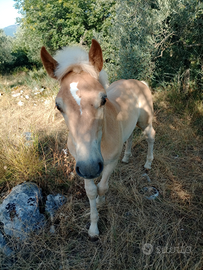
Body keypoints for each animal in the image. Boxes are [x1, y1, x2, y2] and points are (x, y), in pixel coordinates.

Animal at [40, 38, 155, 238]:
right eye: (58, 106)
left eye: (103, 99)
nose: (91, 167)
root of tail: (139, 82)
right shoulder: (80, 164)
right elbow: (91, 191)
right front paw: (93, 228)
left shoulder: (109, 163)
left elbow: (102, 187)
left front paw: (101, 202)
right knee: (130, 136)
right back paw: (127, 157)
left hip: (144, 121)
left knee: (150, 136)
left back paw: (148, 163)